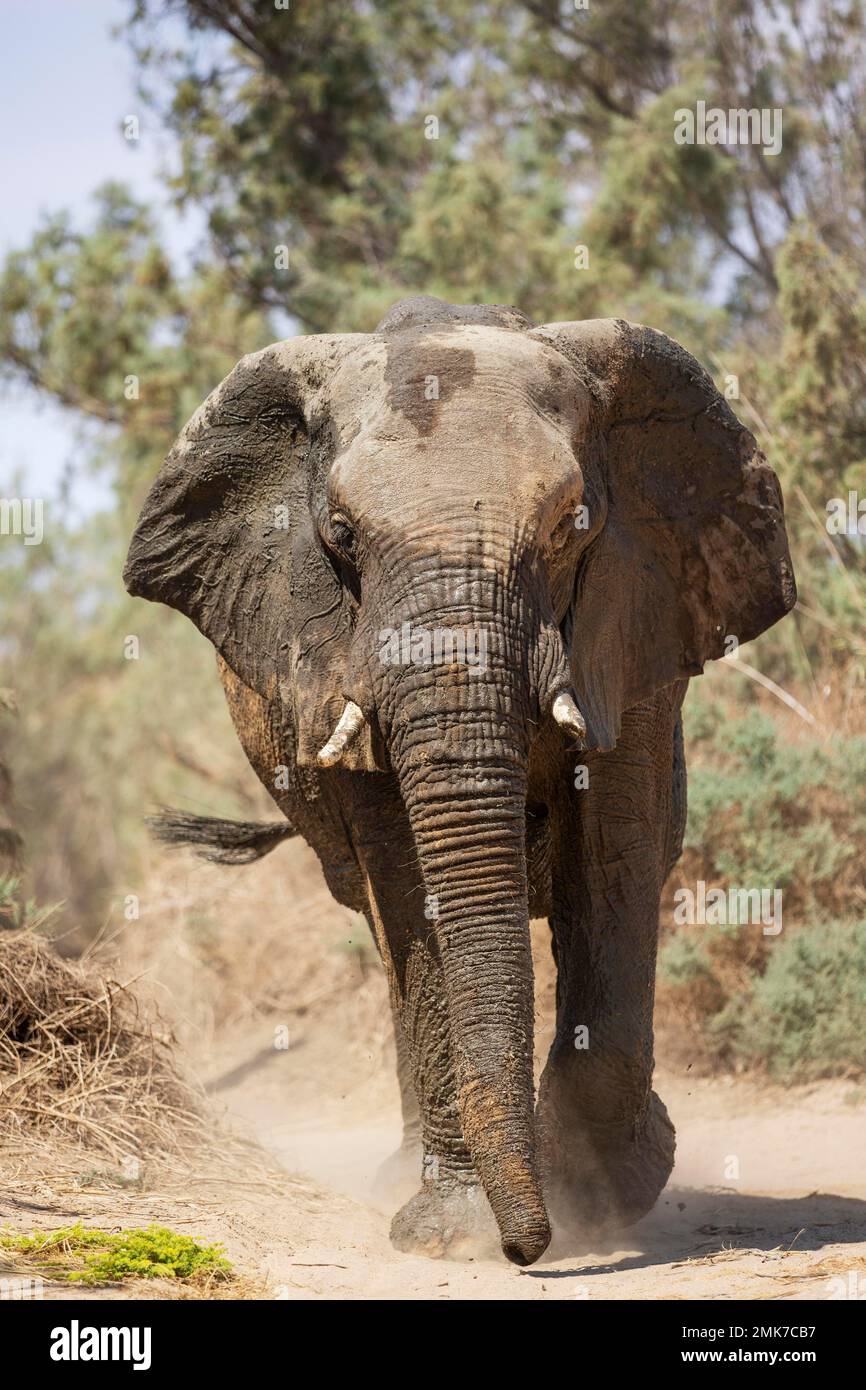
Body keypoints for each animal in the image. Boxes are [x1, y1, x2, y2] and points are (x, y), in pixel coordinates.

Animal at [125, 296, 795, 1273]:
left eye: (570, 526)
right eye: (340, 536)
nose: (527, 1251)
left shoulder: (636, 615)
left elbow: (615, 853)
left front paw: (605, 1192)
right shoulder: (330, 652)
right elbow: (409, 883)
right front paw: (457, 1234)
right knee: (382, 935)